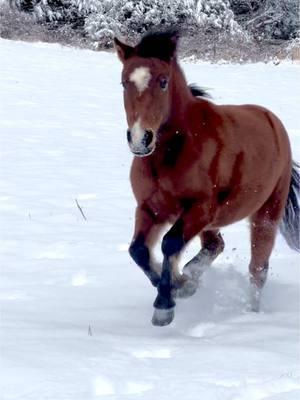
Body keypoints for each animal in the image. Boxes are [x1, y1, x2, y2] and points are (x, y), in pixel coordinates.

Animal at [113, 31, 298, 324]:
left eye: (163, 82)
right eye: (123, 83)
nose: (141, 139)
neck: (173, 151)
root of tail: (273, 121)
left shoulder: (200, 208)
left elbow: (169, 243)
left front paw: (166, 303)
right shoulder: (149, 208)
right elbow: (138, 250)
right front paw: (180, 283)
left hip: (266, 214)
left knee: (258, 270)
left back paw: (252, 314)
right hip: (213, 222)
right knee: (216, 245)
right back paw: (191, 277)